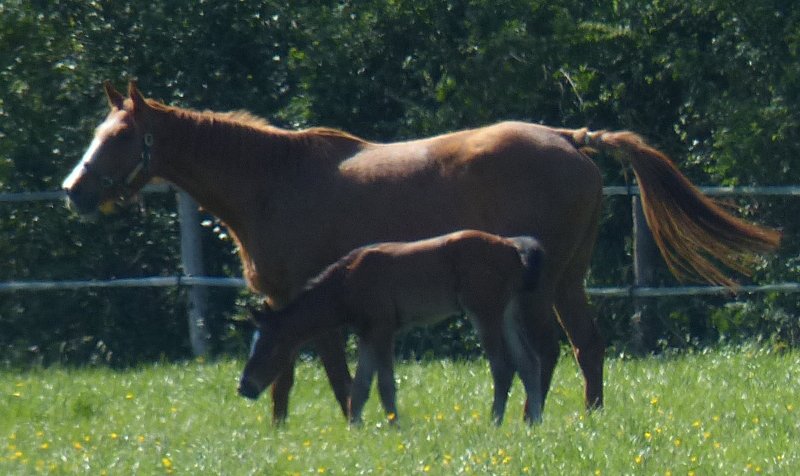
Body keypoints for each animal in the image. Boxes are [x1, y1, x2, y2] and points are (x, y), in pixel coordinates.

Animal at [239, 230, 545, 425]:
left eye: (268, 348)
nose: (244, 388)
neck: (346, 283)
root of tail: (513, 249)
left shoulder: (383, 330)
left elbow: (384, 384)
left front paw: (393, 426)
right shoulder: (367, 334)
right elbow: (360, 387)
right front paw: (355, 429)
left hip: (484, 312)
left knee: (503, 367)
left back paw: (495, 421)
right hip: (507, 313)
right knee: (529, 362)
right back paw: (535, 422)